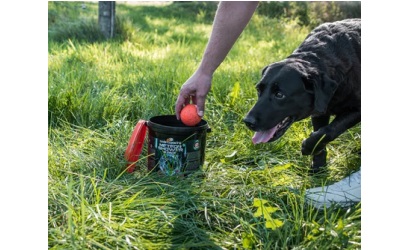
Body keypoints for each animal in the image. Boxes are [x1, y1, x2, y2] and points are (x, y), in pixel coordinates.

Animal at [242, 18, 360, 173]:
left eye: (279, 94)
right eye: (258, 90)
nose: (247, 122)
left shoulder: (356, 109)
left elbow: (328, 131)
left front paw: (307, 147)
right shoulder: (319, 112)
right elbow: (320, 133)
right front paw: (318, 167)